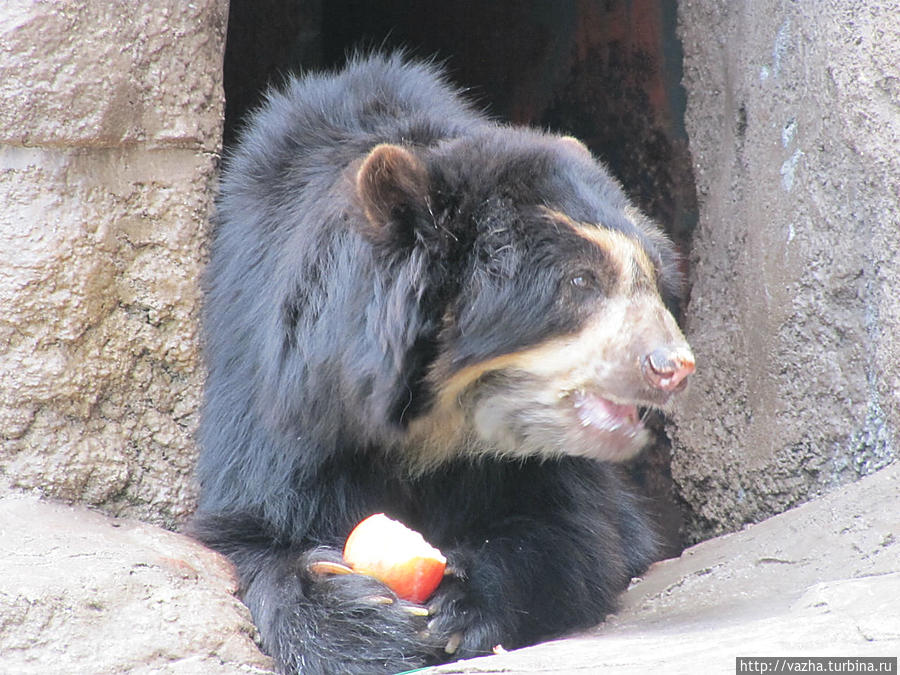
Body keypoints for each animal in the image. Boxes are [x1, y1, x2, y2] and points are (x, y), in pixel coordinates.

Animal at [192, 54, 696, 675]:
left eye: (651, 275)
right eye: (580, 281)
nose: (673, 366)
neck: (437, 421)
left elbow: (581, 535)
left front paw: (458, 603)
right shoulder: (281, 386)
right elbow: (250, 524)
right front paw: (360, 618)